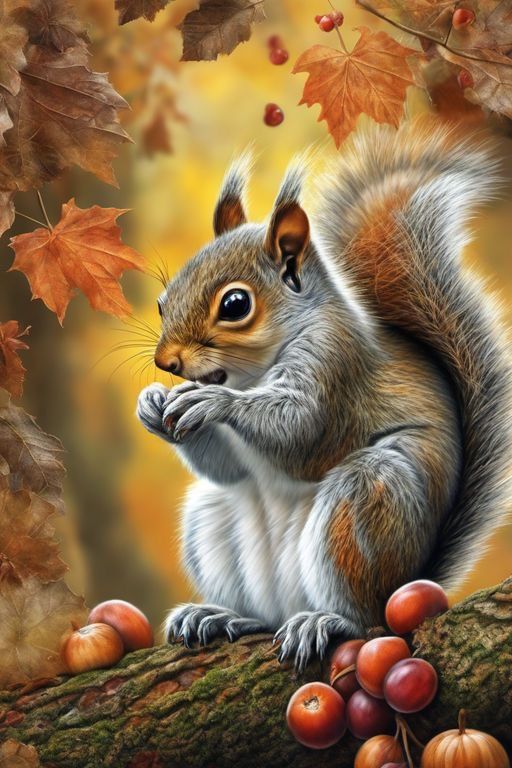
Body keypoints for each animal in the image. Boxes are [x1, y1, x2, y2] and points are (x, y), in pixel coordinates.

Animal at [137, 117, 512, 670]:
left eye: (235, 304)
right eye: (163, 302)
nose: (167, 364)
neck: (250, 375)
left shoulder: (335, 367)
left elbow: (302, 434)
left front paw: (215, 405)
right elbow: (225, 467)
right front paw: (152, 404)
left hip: (365, 506)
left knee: (368, 620)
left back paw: (326, 621)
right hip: (212, 519)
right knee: (263, 611)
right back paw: (222, 616)